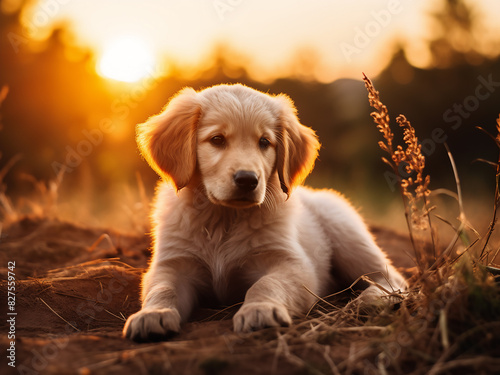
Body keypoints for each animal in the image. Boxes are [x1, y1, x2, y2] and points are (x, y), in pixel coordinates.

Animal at [124, 83, 406, 342]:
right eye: (217, 140)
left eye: (264, 142)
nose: (247, 180)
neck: (224, 219)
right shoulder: (173, 264)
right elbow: (163, 289)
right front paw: (153, 314)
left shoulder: (293, 264)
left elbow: (267, 284)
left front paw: (260, 310)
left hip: (346, 233)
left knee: (391, 277)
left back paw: (371, 300)